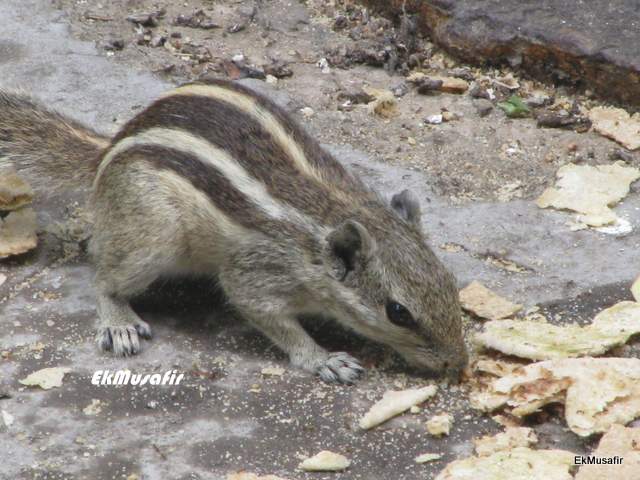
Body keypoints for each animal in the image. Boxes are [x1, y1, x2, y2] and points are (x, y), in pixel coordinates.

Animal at [0, 79, 468, 384]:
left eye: (451, 282)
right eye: (398, 312)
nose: (458, 363)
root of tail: (108, 149)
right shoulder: (257, 272)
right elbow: (266, 314)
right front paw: (322, 359)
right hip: (152, 235)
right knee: (103, 275)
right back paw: (119, 320)